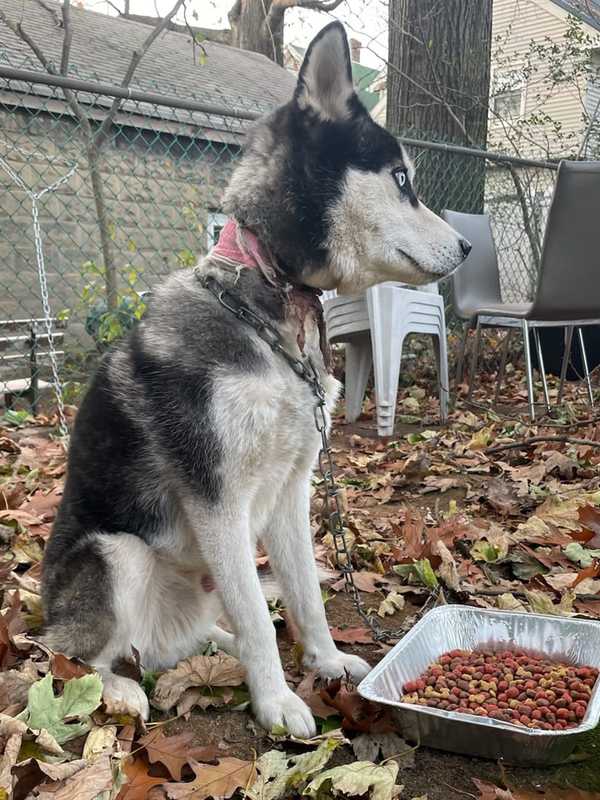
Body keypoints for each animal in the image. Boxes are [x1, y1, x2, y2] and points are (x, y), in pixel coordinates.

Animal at [41, 21, 468, 736]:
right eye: (402, 178)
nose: (465, 249)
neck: (266, 307)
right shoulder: (218, 501)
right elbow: (265, 621)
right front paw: (277, 703)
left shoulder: (292, 490)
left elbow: (306, 595)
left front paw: (325, 663)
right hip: (115, 556)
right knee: (69, 658)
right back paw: (119, 689)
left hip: (196, 590)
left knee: (199, 632)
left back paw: (219, 649)